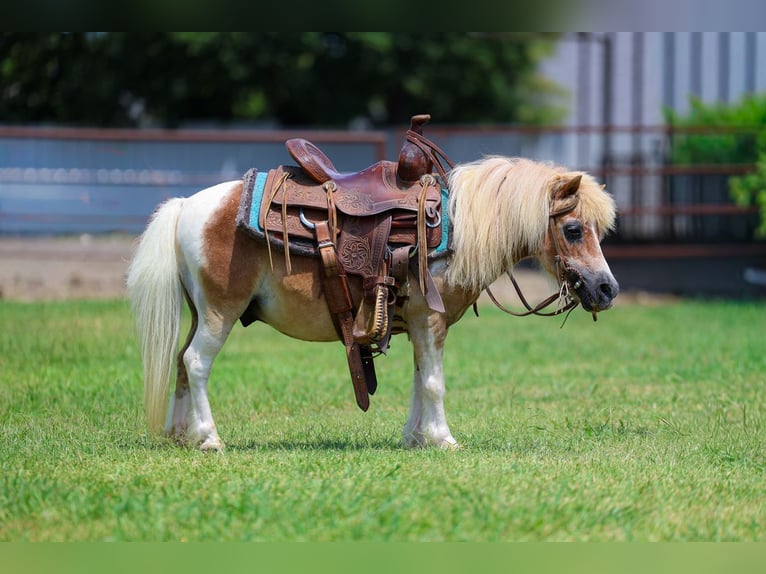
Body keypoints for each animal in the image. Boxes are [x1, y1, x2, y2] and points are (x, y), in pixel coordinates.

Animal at [126, 155, 618, 451]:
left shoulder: (420, 324)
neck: (458, 229)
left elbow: (420, 381)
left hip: (199, 313)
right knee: (196, 363)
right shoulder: (431, 321)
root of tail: (187, 205)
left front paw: (416, 437)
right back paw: (209, 438)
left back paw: (179, 435)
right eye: (574, 229)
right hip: (218, 313)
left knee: (180, 362)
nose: (607, 289)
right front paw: (443, 439)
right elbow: (434, 383)